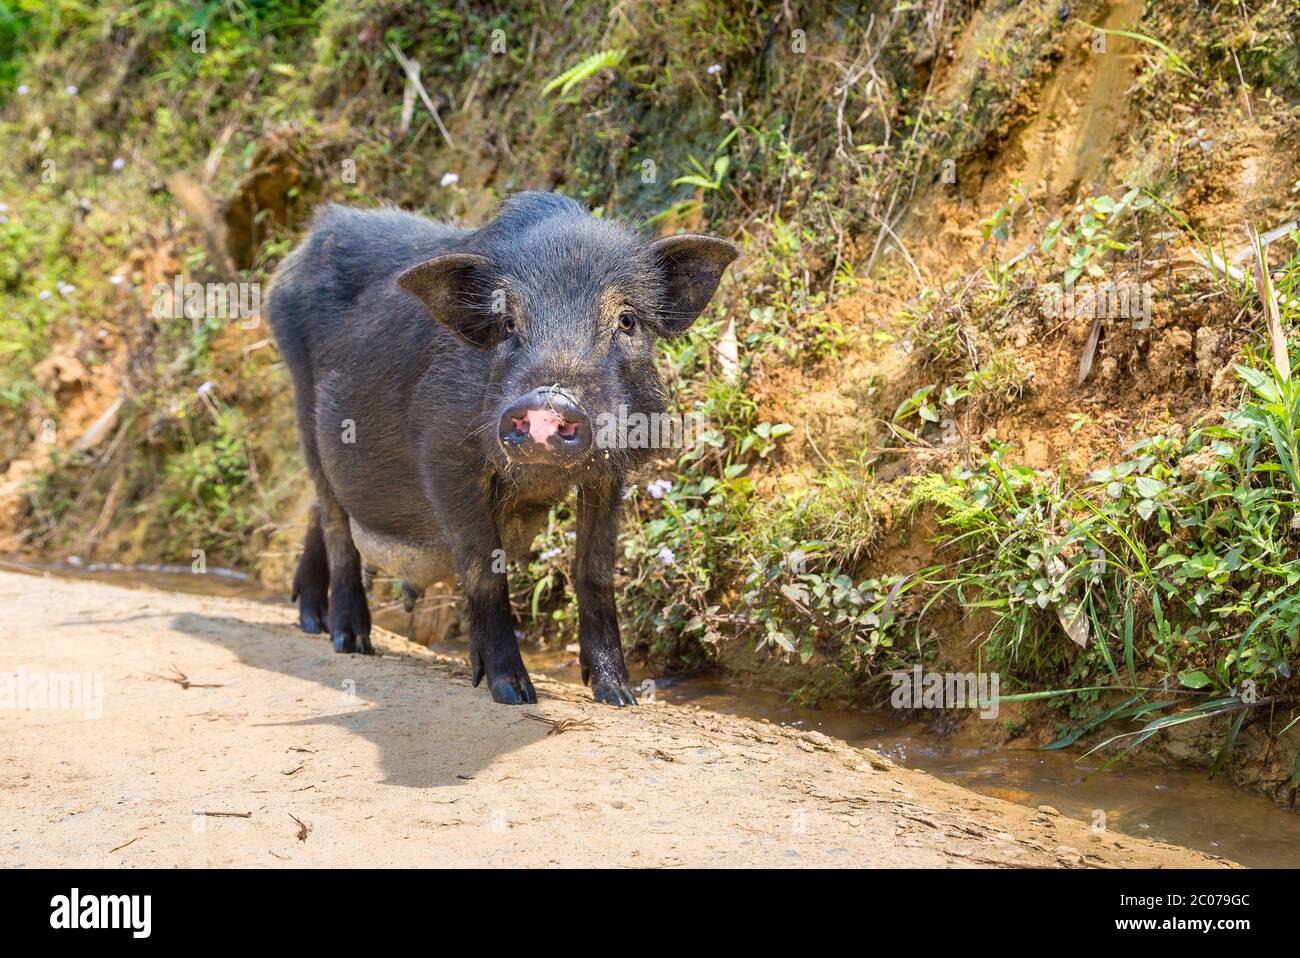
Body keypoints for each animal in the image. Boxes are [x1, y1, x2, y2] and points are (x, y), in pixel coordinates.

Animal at [269, 192, 738, 701]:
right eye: (508, 323)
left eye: (627, 320)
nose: (548, 402)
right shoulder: (446, 454)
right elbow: (484, 571)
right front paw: (513, 692)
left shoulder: (610, 473)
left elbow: (594, 569)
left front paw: (619, 697)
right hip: (304, 409)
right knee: (335, 522)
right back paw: (350, 641)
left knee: (318, 513)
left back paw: (311, 622)